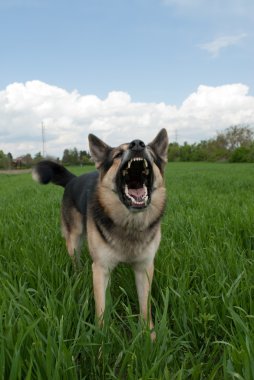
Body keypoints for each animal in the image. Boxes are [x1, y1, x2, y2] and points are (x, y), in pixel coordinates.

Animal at [32, 129, 168, 336]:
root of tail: (73, 179)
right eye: (118, 154)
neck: (129, 222)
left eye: (152, 156)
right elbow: (101, 307)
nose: (138, 144)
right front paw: (102, 338)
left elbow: (145, 307)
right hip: (75, 240)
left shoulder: (144, 267)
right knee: (76, 261)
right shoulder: (100, 268)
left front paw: (149, 336)